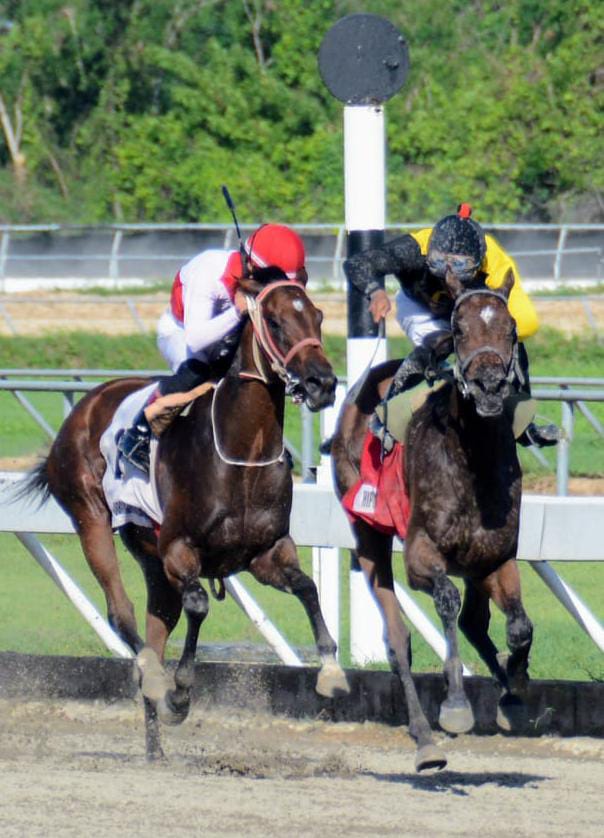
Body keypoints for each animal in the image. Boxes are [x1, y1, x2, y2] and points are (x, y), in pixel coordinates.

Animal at [23, 267, 350, 759]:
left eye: (319, 316)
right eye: (274, 322)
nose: (321, 383)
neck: (242, 453)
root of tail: (86, 405)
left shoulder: (266, 553)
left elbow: (308, 588)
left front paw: (331, 672)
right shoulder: (179, 549)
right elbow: (198, 605)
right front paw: (178, 691)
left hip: (149, 556)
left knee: (157, 622)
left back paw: (155, 745)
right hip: (91, 518)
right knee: (123, 613)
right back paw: (155, 681)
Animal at [331, 270, 533, 772]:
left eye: (510, 328)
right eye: (458, 330)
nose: (488, 386)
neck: (472, 461)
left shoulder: (496, 556)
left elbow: (518, 626)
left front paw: (516, 687)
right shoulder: (421, 554)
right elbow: (445, 600)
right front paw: (456, 704)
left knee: (475, 622)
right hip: (368, 532)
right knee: (397, 639)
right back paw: (424, 740)